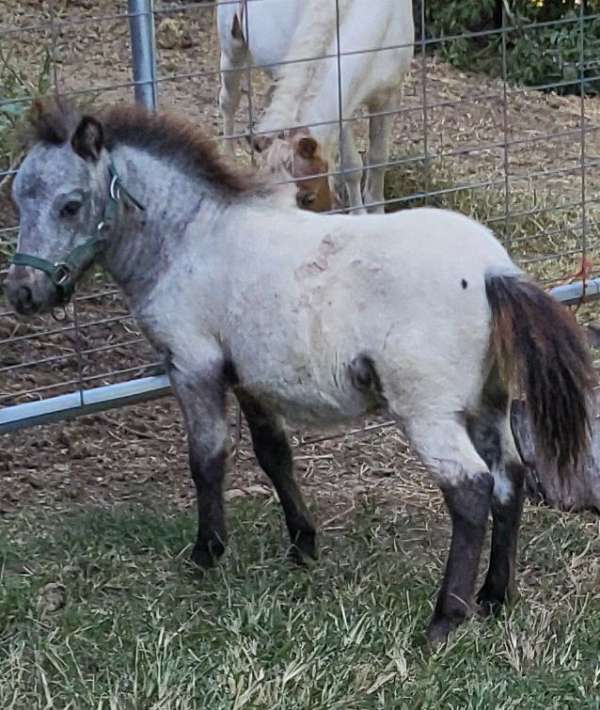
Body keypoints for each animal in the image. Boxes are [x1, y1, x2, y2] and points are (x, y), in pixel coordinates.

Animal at [7, 104, 592, 644]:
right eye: (16, 198)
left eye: (70, 205)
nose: (22, 295)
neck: (193, 238)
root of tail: (494, 271)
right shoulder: (250, 376)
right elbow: (274, 455)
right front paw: (302, 544)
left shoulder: (193, 364)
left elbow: (207, 459)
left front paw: (206, 554)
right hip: (489, 402)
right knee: (508, 478)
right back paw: (495, 596)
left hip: (429, 413)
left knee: (470, 490)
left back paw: (444, 621)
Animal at [218, 0, 414, 214]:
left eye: (308, 198)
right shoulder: (343, 112)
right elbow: (352, 167)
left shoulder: (389, 97)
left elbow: (378, 160)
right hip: (232, 48)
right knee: (229, 102)